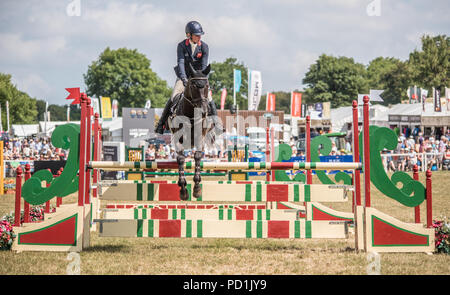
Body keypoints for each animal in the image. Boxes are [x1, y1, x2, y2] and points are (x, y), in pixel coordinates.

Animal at [167, 62, 216, 201]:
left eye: (207, 86)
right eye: (193, 86)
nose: (204, 112)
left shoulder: (200, 139)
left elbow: (198, 156)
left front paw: (197, 189)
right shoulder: (177, 139)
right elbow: (181, 159)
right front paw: (183, 189)